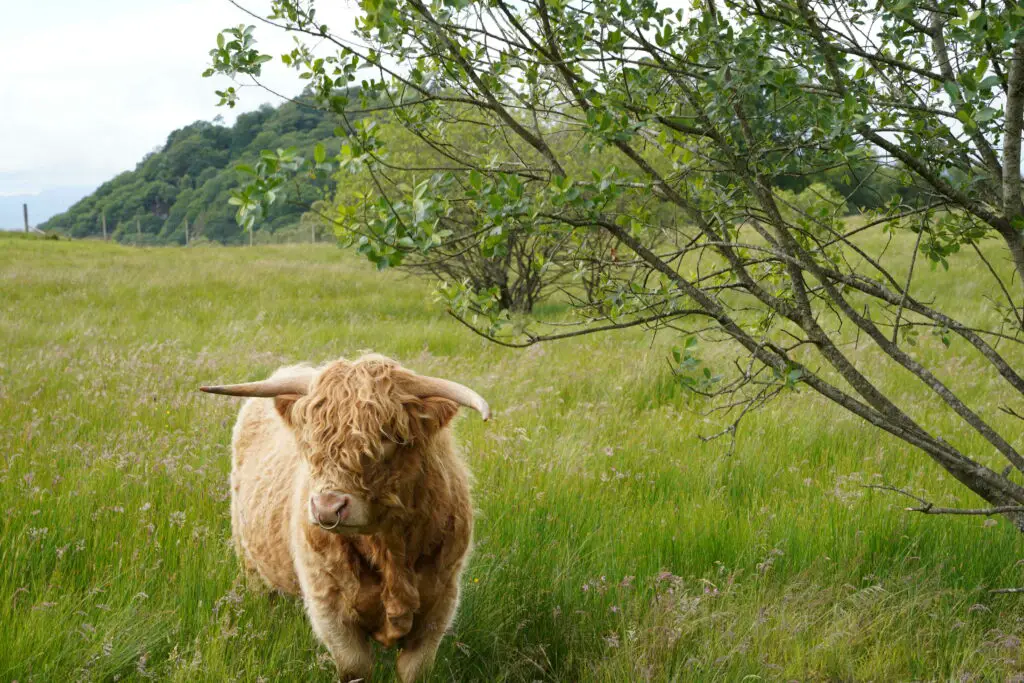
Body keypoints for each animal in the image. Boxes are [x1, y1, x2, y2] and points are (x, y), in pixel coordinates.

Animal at [201, 356, 489, 679]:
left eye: (387, 436)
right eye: (311, 439)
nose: (327, 507)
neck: (389, 551)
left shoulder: (440, 603)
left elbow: (413, 669)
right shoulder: (329, 606)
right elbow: (355, 666)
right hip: (249, 560)